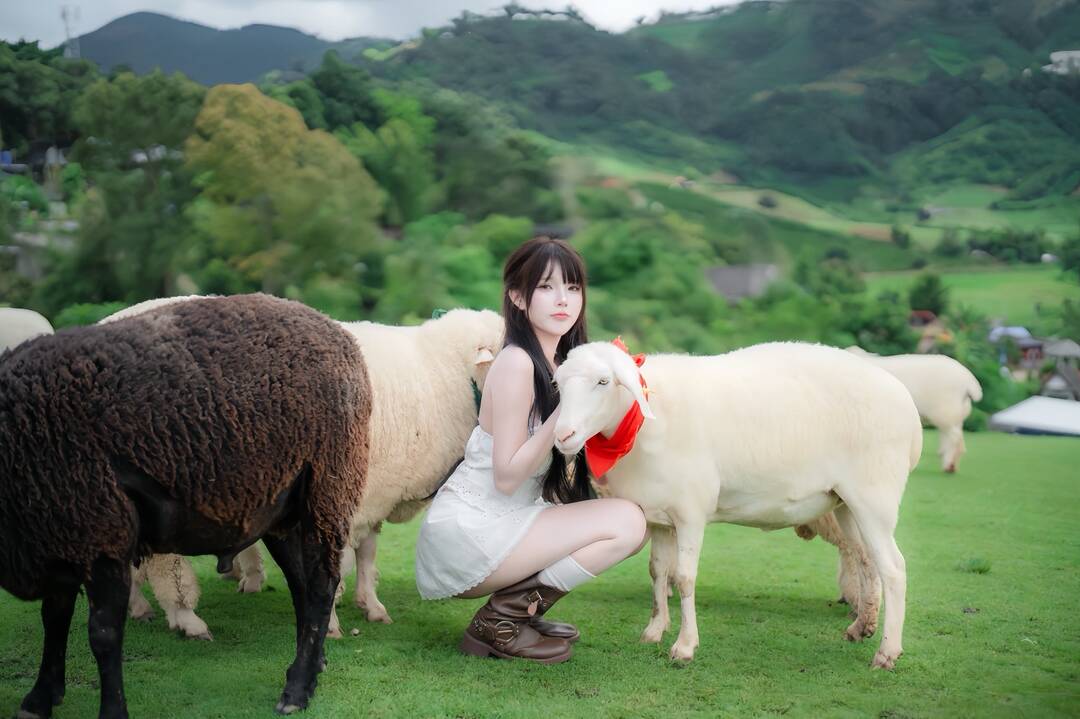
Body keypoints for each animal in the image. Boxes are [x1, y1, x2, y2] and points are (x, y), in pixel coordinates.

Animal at [0, 293, 371, 717]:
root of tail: (336, 332)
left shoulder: (103, 538)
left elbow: (103, 635)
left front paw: (110, 710)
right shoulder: (59, 540)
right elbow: (54, 618)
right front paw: (40, 697)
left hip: (328, 489)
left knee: (322, 584)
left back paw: (296, 689)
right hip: (280, 509)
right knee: (301, 584)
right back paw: (309, 666)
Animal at [552, 341, 921, 669]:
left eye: (603, 381)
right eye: (558, 383)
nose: (562, 435)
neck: (642, 425)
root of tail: (904, 399)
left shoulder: (690, 512)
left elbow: (684, 578)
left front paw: (685, 646)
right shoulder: (658, 516)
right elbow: (657, 571)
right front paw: (655, 629)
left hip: (874, 496)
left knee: (894, 568)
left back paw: (887, 652)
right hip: (845, 503)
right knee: (866, 559)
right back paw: (862, 627)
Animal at [847, 347, 982, 473]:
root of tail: (969, 382)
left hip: (945, 411)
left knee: (954, 437)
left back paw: (949, 465)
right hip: (955, 415)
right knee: (955, 439)